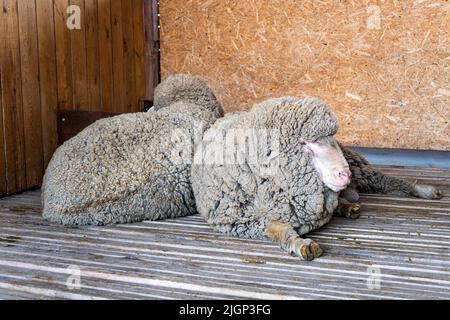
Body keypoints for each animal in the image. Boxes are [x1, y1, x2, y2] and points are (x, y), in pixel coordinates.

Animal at [190, 97, 352, 260]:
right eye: (303, 143)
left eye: (333, 139)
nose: (346, 175)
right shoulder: (242, 221)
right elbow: (279, 228)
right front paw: (301, 244)